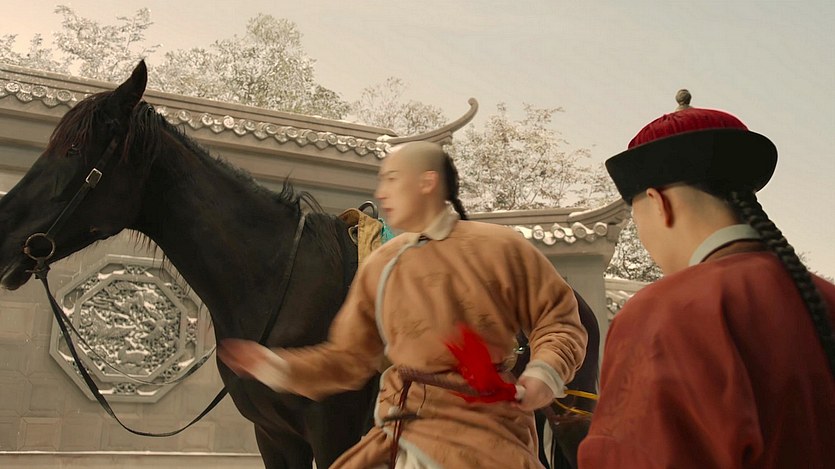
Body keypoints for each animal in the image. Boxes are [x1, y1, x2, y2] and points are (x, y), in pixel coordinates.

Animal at [0, 60, 599, 468]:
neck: (276, 285)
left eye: (72, 152)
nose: (4, 237)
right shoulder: (274, 436)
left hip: (575, 423)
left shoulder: (334, 432)